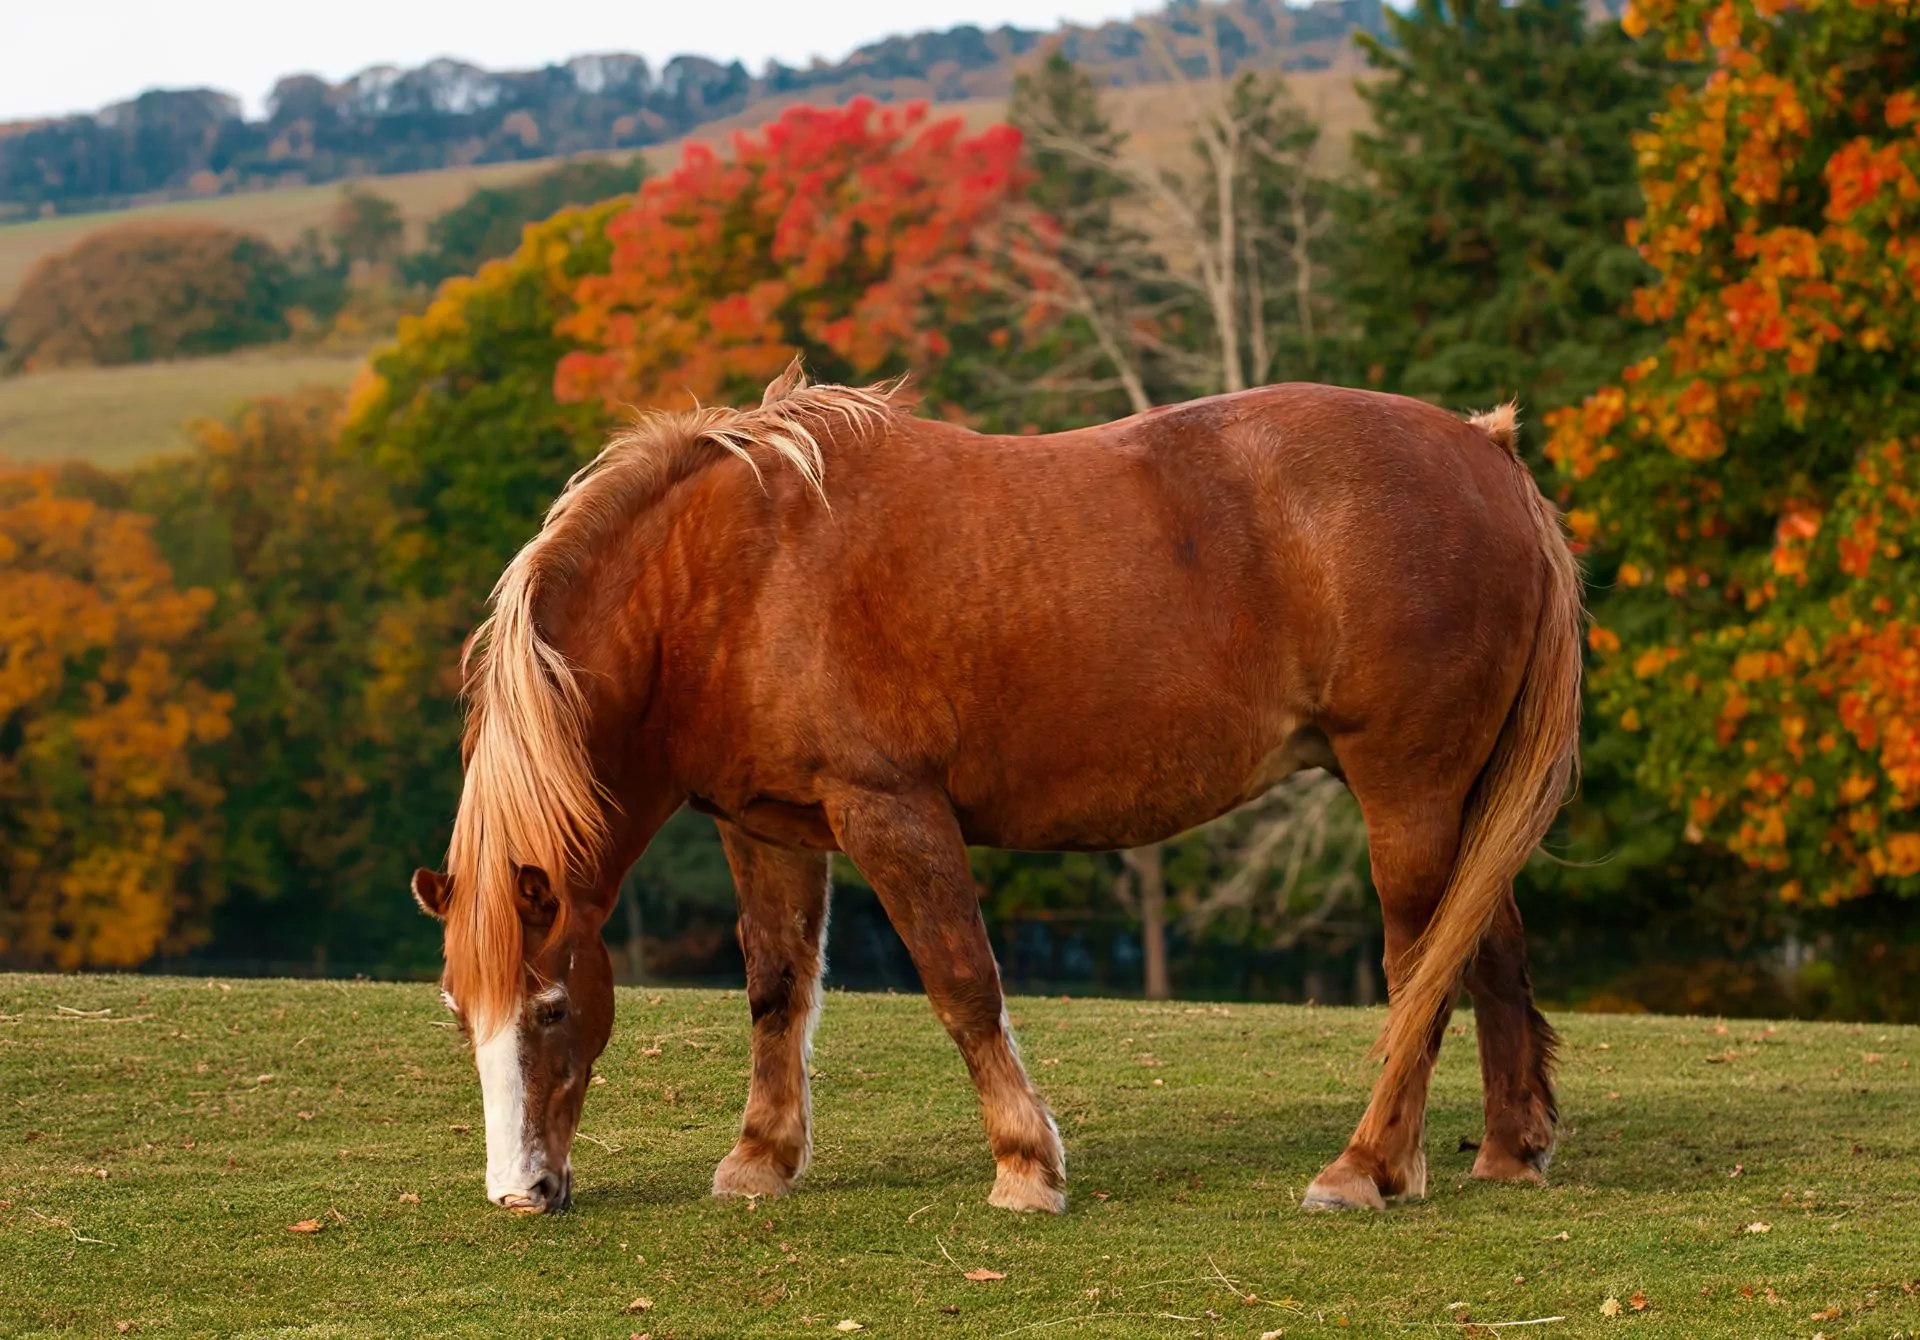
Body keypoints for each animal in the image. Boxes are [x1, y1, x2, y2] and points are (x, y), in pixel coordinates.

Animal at [409, 360, 1581, 1216]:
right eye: (461, 1008)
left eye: (553, 1006)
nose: (520, 1192)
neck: (736, 577)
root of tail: (1486, 451)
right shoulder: (769, 829)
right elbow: (777, 989)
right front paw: (760, 1160)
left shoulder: (891, 811)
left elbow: (963, 983)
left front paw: (1025, 1166)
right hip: (1458, 798)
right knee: (1492, 948)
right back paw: (1508, 1152)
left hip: (1406, 792)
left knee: (1423, 969)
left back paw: (1368, 1167)